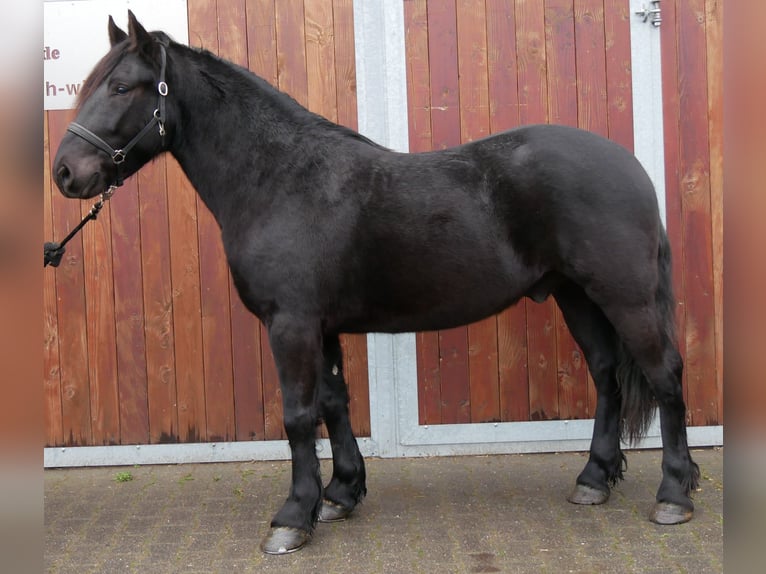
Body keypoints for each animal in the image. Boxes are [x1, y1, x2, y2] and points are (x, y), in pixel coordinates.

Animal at [52, 12, 700, 554]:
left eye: (121, 87)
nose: (65, 173)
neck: (280, 178)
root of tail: (630, 166)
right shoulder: (321, 326)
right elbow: (333, 403)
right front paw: (340, 494)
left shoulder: (291, 324)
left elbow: (298, 415)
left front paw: (293, 517)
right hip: (576, 296)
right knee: (608, 376)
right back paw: (594, 479)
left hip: (625, 297)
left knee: (665, 376)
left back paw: (674, 493)